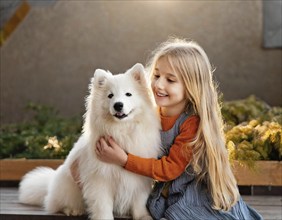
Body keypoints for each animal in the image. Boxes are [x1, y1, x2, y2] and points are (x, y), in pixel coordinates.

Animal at [19, 62, 161, 219]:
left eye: (128, 94)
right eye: (110, 95)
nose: (118, 105)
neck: (121, 132)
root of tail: (51, 183)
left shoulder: (138, 180)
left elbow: (139, 203)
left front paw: (144, 216)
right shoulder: (99, 180)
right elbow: (103, 206)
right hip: (69, 187)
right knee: (58, 204)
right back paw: (72, 210)